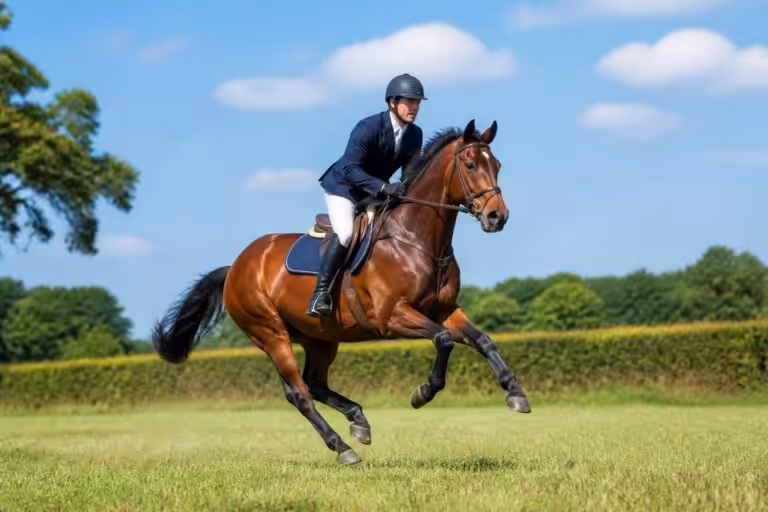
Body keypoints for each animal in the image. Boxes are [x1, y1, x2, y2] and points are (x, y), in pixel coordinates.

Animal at [151, 119, 531, 465]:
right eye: (470, 165)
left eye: (496, 165)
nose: (497, 217)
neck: (416, 240)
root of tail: (235, 267)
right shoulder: (392, 317)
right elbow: (443, 340)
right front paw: (422, 393)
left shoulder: (445, 309)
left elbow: (483, 340)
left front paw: (516, 394)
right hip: (270, 333)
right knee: (299, 392)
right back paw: (343, 448)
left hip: (320, 337)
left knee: (314, 382)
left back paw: (358, 421)